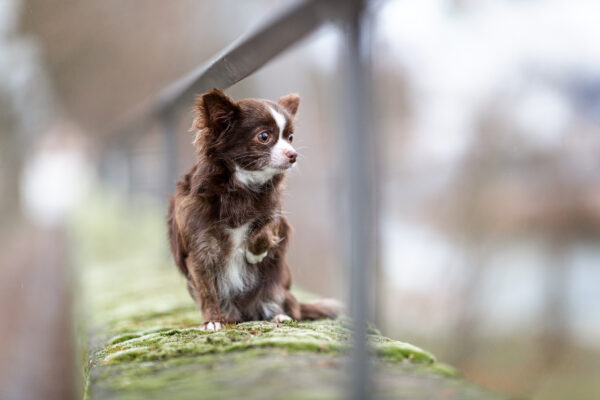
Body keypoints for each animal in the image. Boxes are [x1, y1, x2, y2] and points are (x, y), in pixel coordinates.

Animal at [168, 89, 342, 330]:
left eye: (290, 138)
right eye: (264, 137)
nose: (293, 154)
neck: (242, 188)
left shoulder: (276, 214)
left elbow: (266, 228)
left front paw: (253, 253)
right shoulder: (199, 249)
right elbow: (207, 291)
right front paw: (213, 320)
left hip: (276, 287)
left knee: (284, 306)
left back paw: (278, 316)